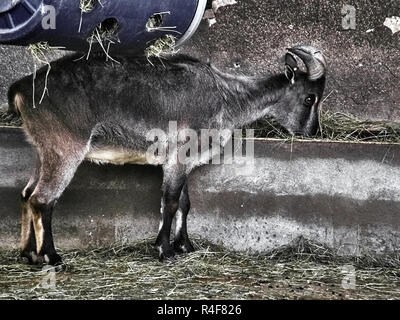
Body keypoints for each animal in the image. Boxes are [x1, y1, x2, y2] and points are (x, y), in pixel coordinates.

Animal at [7, 44, 326, 264]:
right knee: (43, 199)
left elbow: (185, 202)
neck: (227, 96)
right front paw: (165, 249)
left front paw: (185, 245)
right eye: (309, 98)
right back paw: (51, 257)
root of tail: (21, 88)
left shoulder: (183, 163)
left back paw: (28, 254)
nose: (312, 132)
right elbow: (170, 201)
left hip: (42, 151)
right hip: (65, 150)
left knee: (26, 193)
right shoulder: (177, 157)